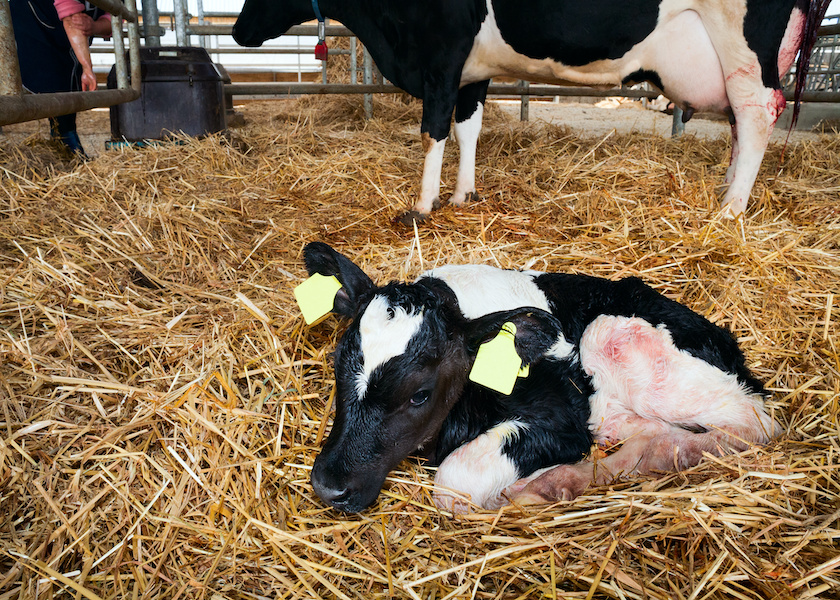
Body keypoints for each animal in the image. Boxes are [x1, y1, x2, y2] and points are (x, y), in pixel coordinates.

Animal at [233, 0, 830, 222]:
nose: (237, 31)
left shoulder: (442, 52)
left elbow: (433, 129)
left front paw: (422, 204)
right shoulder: (472, 69)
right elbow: (468, 127)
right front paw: (463, 194)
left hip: (741, 43)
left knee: (756, 113)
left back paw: (729, 209)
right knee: (739, 124)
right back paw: (726, 190)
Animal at [300, 242, 779, 513]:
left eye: (420, 394)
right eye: (337, 364)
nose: (329, 487)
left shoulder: (563, 419)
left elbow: (455, 480)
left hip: (611, 335)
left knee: (753, 426)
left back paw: (547, 484)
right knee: (649, 435)